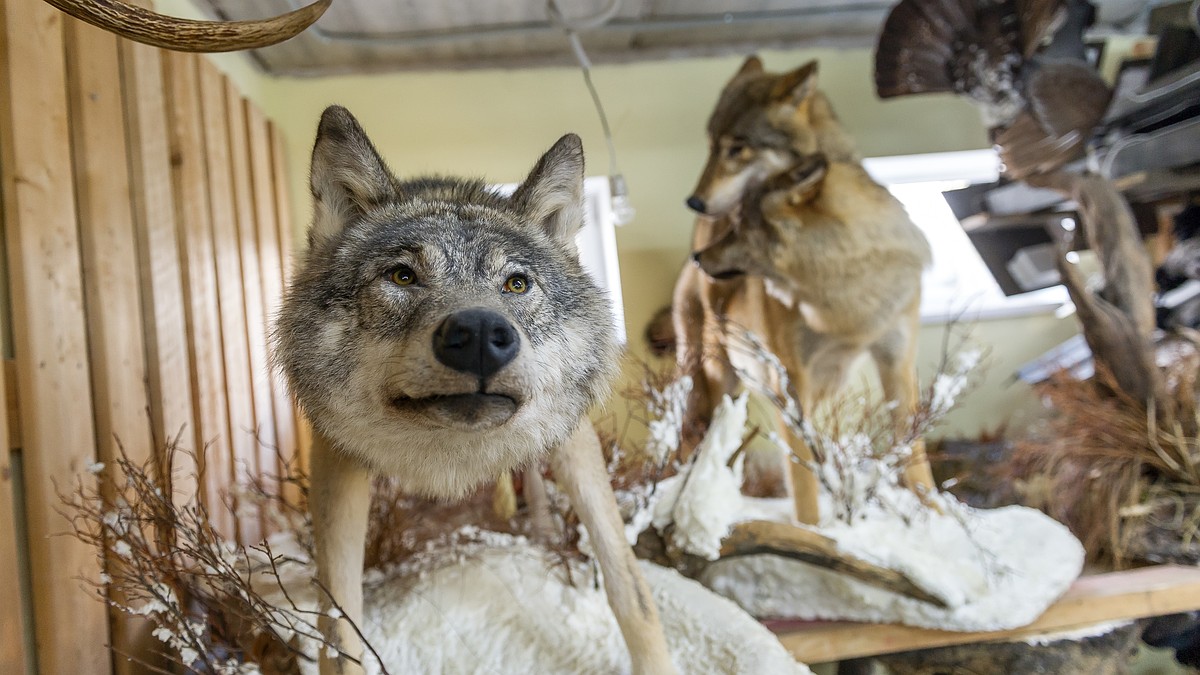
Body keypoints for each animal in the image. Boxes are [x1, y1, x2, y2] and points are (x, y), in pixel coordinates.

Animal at [274, 105, 681, 672]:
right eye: (402, 277)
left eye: (516, 284)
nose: (482, 337)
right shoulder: (337, 461)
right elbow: (339, 621)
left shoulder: (575, 442)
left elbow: (629, 587)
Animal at [676, 57, 936, 521]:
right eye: (710, 146)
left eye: (737, 148)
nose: (699, 255)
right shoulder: (791, 384)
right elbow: (804, 489)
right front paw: (819, 531)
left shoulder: (896, 364)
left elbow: (918, 464)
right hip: (715, 381)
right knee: (696, 443)